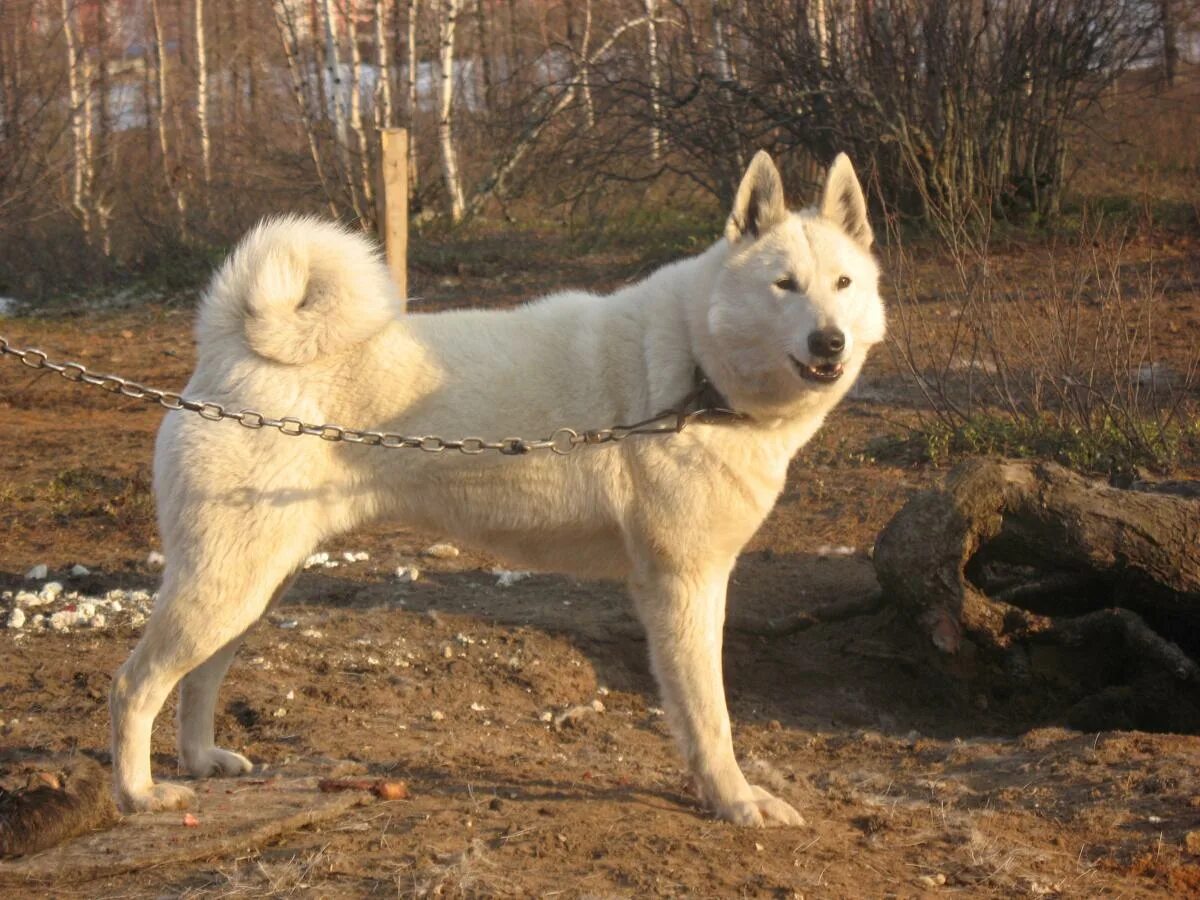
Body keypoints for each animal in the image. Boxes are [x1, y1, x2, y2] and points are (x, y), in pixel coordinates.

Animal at [110, 151, 883, 830]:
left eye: (844, 284)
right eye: (784, 285)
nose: (830, 342)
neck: (699, 368)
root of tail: (228, 348)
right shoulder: (682, 587)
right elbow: (709, 718)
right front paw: (736, 802)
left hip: (256, 587)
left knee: (199, 680)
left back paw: (201, 760)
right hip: (225, 585)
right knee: (134, 684)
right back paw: (138, 794)